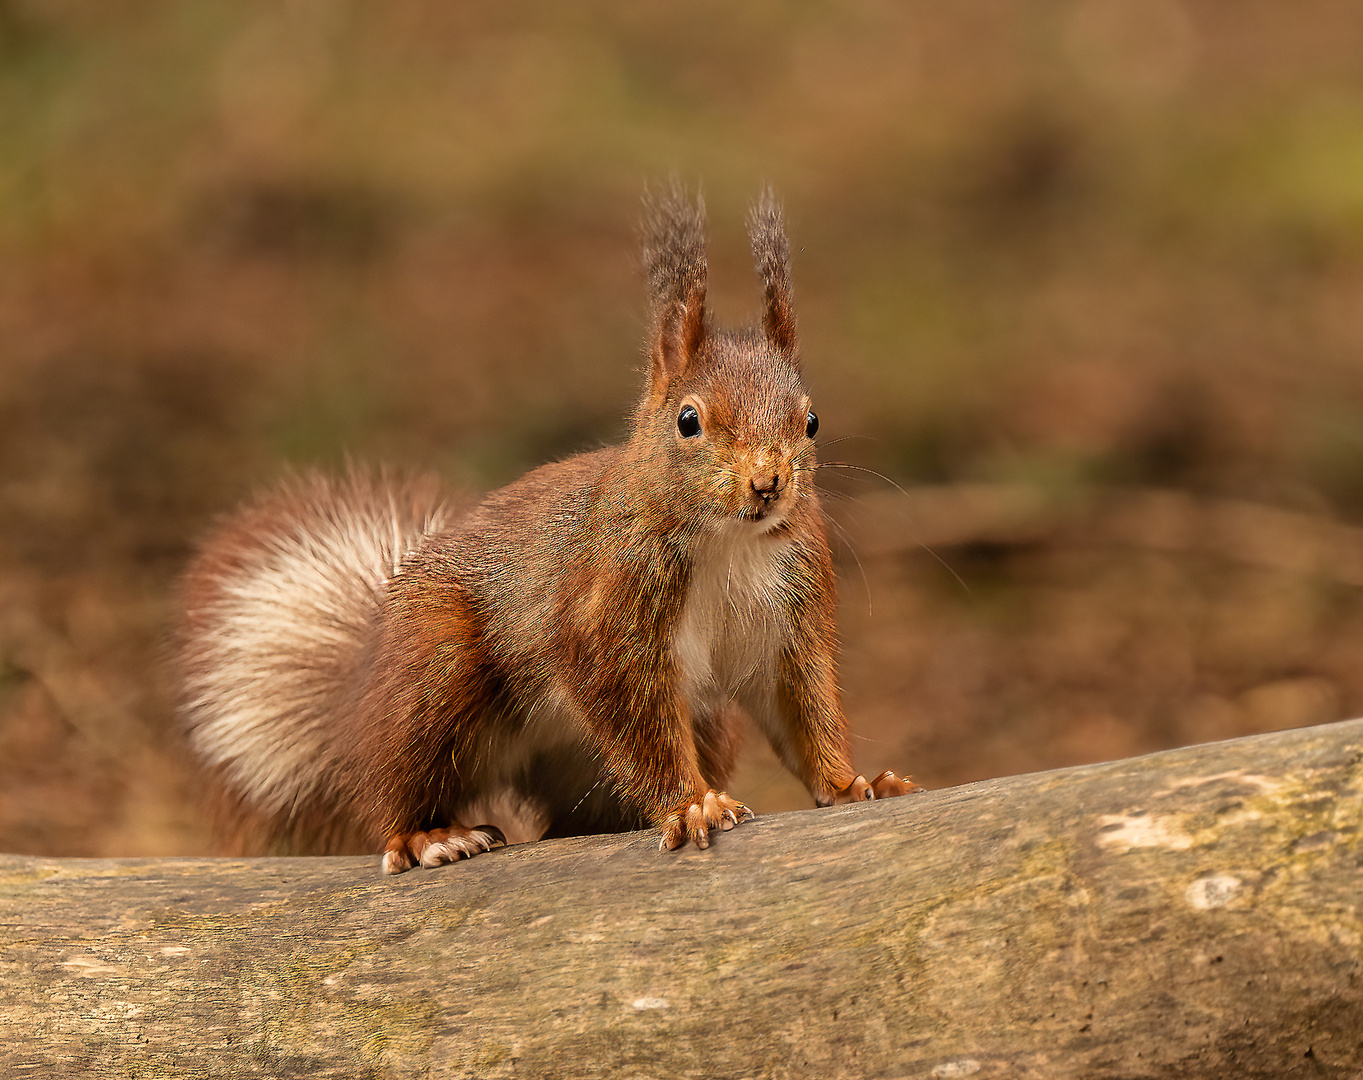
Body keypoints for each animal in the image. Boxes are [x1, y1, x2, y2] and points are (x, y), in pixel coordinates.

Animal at [173, 185, 915, 872]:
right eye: (688, 420)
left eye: (810, 421)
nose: (767, 485)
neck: (727, 543)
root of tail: (358, 699)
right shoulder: (607, 615)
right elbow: (634, 715)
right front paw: (691, 804)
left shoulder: (793, 611)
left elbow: (802, 706)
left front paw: (851, 783)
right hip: (433, 675)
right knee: (390, 786)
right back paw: (429, 835)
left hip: (694, 728)